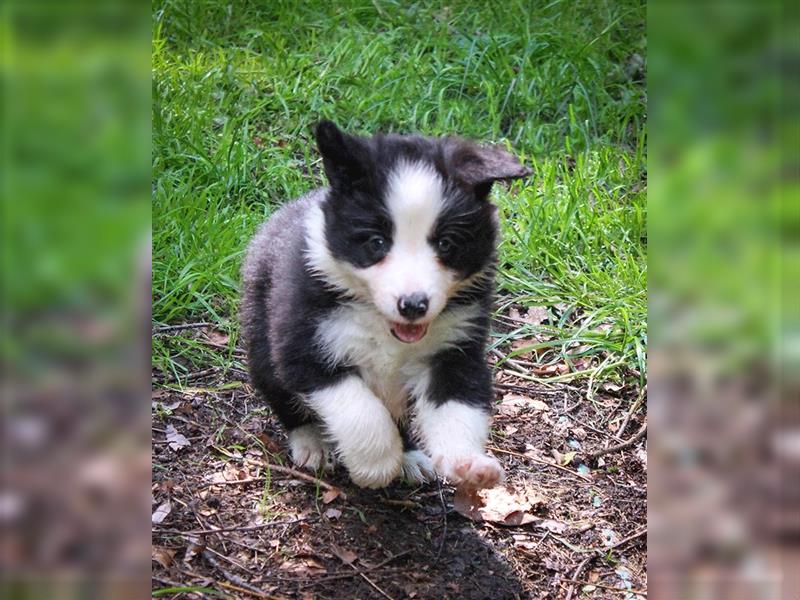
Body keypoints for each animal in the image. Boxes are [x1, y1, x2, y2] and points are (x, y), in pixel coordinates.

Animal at [244, 120, 532, 488]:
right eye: (377, 243)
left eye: (446, 243)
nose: (413, 305)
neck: (383, 326)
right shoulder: (304, 342)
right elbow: (359, 408)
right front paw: (376, 464)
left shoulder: (455, 348)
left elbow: (457, 403)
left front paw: (467, 463)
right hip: (260, 335)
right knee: (284, 398)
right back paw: (313, 442)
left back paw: (409, 457)